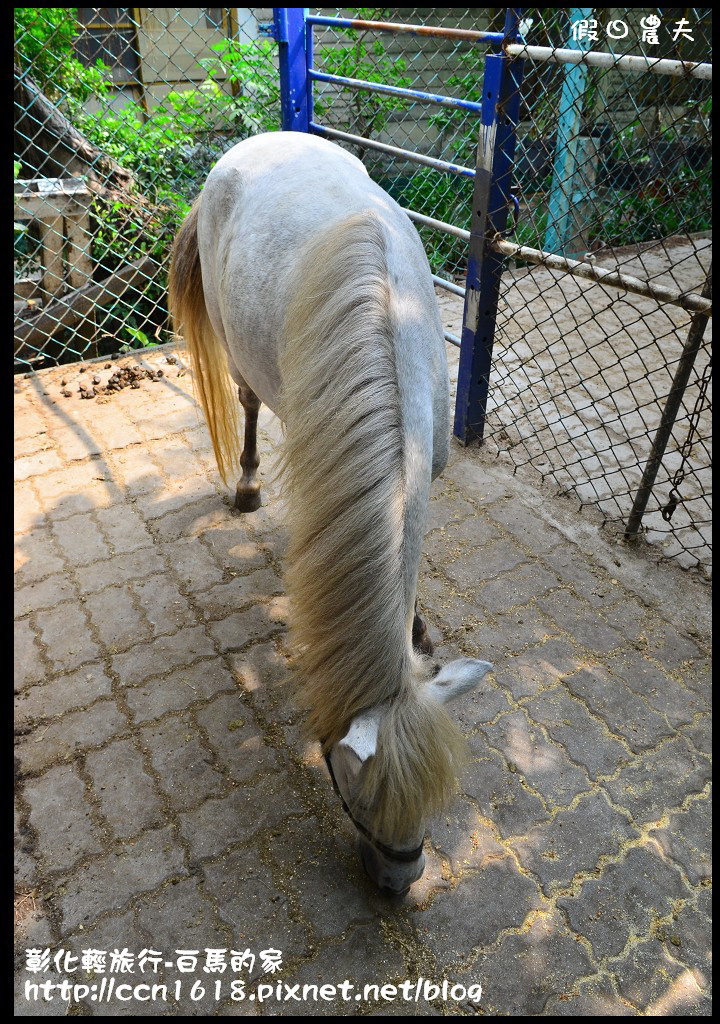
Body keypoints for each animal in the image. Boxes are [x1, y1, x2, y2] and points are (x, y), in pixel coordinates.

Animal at [172, 132, 493, 892]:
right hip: (240, 357)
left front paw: (417, 630)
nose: (399, 884)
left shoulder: (431, 468)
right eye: (356, 795)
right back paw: (248, 486)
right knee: (248, 406)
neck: (388, 322)